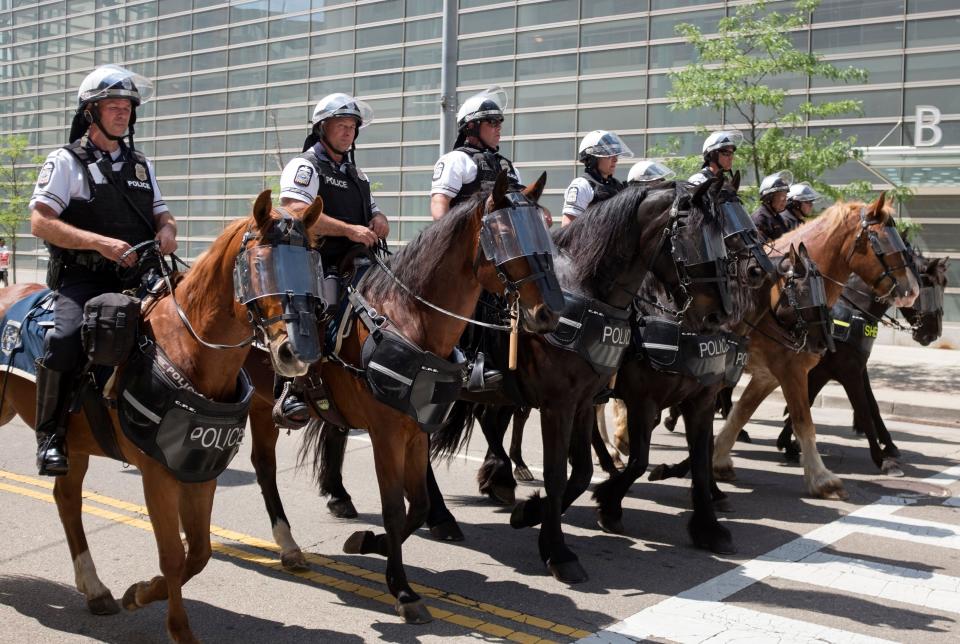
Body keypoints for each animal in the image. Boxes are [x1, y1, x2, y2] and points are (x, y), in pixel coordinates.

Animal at [0, 191, 322, 644]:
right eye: (259, 265)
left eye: (312, 266)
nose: (298, 352)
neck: (188, 348)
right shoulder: (156, 474)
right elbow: (172, 554)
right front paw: (178, 628)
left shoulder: (199, 469)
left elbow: (199, 553)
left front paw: (138, 593)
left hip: (74, 445)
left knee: (67, 500)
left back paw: (95, 588)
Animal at [244, 172, 568, 624]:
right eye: (504, 236)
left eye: (542, 229)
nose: (549, 314)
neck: (408, 318)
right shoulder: (386, 434)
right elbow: (395, 509)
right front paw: (402, 589)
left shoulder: (417, 432)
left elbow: (417, 506)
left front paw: (369, 542)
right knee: (265, 465)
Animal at [432, 179, 740, 588]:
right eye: (691, 239)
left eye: (724, 239)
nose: (720, 313)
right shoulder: (589, 403)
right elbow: (580, 470)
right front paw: (561, 542)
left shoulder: (675, 399)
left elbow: (586, 473)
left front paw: (707, 526)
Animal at [712, 194, 924, 500]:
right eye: (881, 242)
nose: (912, 292)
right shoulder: (793, 370)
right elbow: (804, 420)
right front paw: (823, 479)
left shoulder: (770, 375)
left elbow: (743, 413)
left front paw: (719, 459)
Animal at [776, 252, 948, 472]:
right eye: (929, 288)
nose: (934, 333)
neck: (854, 312)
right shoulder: (843, 372)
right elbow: (862, 409)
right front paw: (882, 460)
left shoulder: (853, 369)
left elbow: (870, 405)